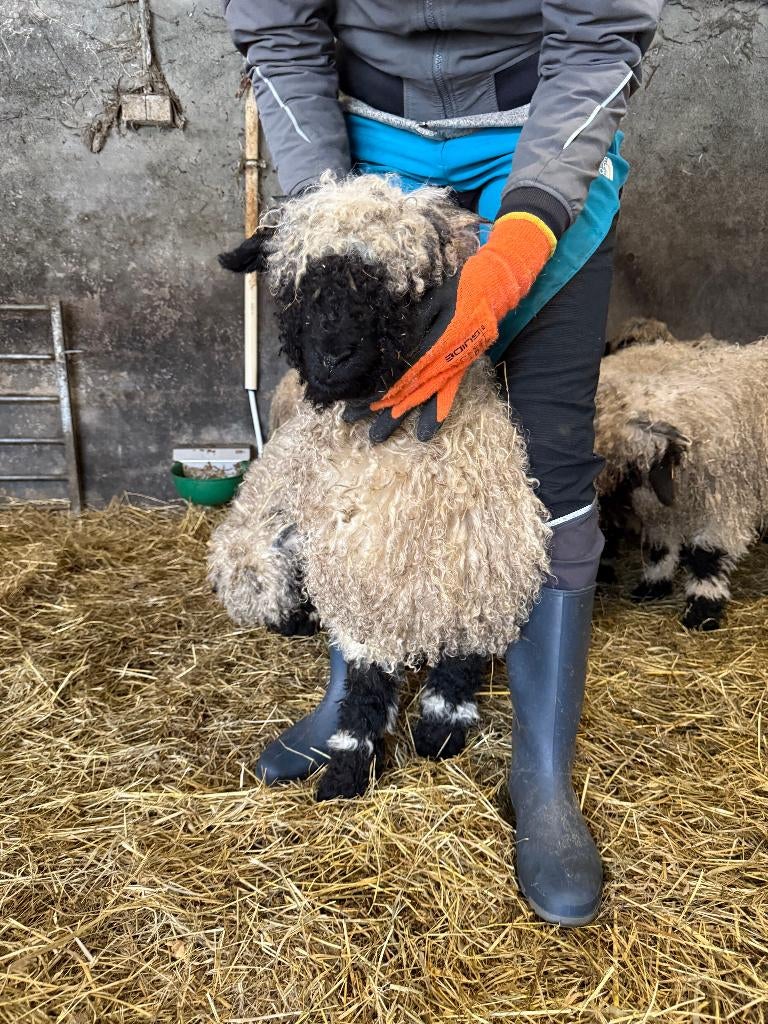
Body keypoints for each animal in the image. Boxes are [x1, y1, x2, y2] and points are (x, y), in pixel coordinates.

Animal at [208, 174, 551, 799]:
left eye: (400, 290)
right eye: (295, 286)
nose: (330, 359)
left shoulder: (480, 570)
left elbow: (458, 664)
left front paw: (442, 726)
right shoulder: (361, 580)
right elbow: (366, 680)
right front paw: (349, 762)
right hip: (258, 549)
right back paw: (296, 618)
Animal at [594, 320, 768, 630]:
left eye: (629, 468)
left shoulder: (724, 509)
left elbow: (707, 557)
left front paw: (702, 609)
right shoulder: (659, 513)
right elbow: (659, 548)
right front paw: (653, 585)